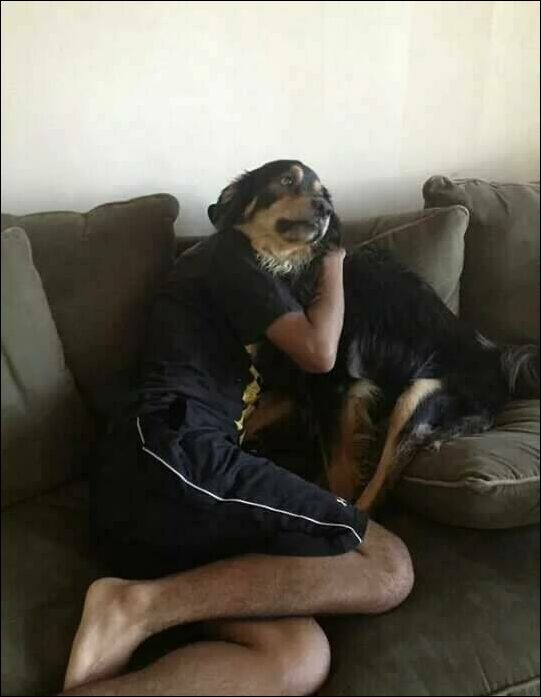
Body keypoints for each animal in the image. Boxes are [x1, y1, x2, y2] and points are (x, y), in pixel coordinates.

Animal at [209, 160, 540, 513]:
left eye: (324, 194)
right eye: (286, 180)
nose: (325, 209)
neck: (292, 268)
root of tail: (498, 359)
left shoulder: (336, 386)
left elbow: (339, 472)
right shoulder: (293, 386)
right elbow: (247, 423)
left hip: (418, 397)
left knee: (382, 481)